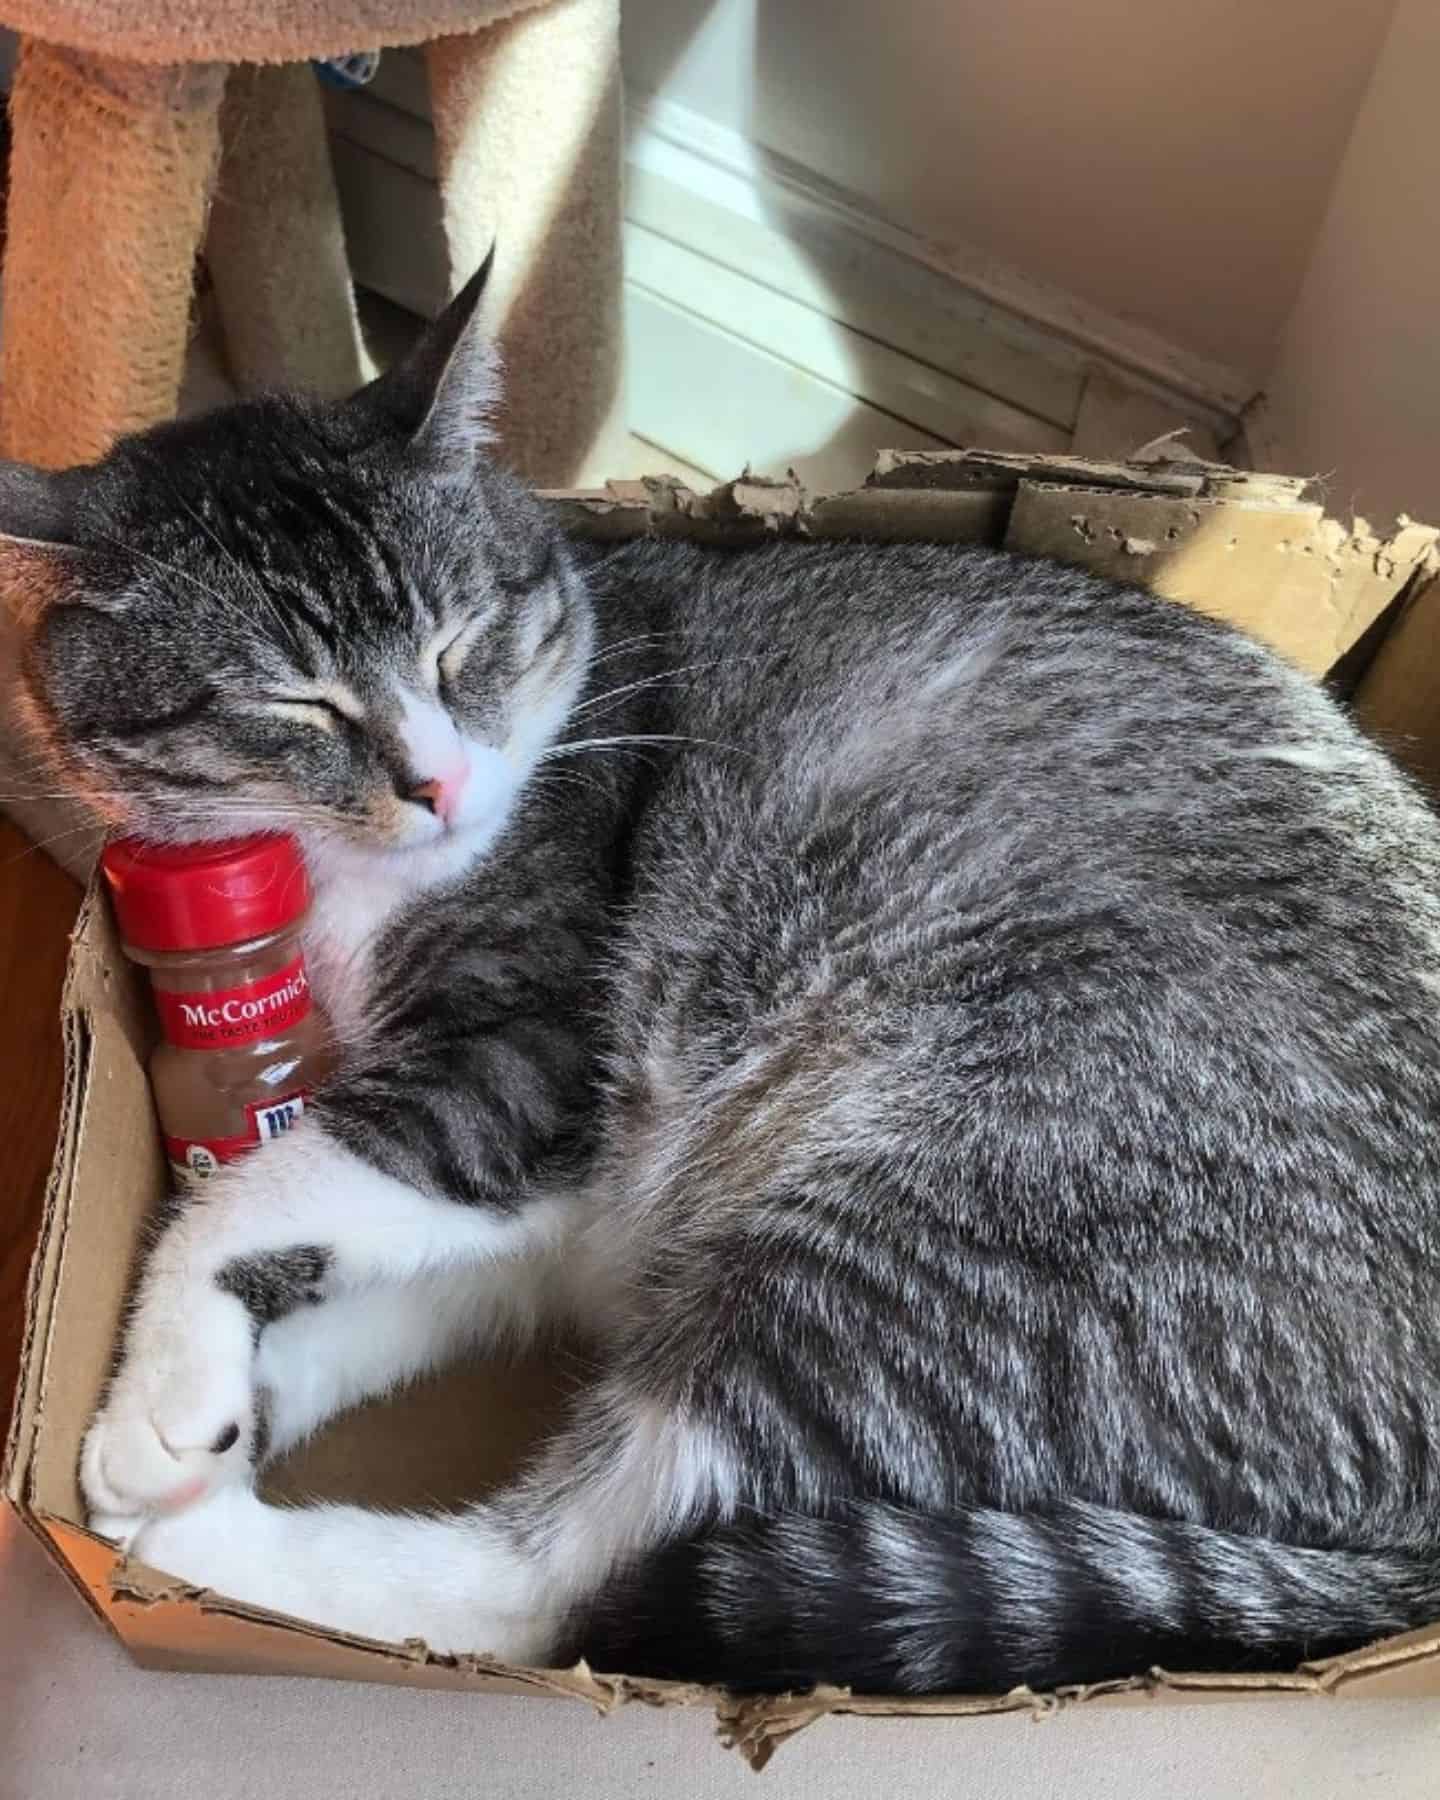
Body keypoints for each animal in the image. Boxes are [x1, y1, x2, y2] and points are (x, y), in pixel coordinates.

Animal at [8, 257, 1440, 1699]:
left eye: (462, 644)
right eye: (297, 705)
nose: (439, 784)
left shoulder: (514, 1071)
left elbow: (237, 1195)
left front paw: (166, 1403)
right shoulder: (564, 1203)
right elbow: (383, 1276)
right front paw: (223, 1400)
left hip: (926, 1247)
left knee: (559, 1583)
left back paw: (209, 1559)